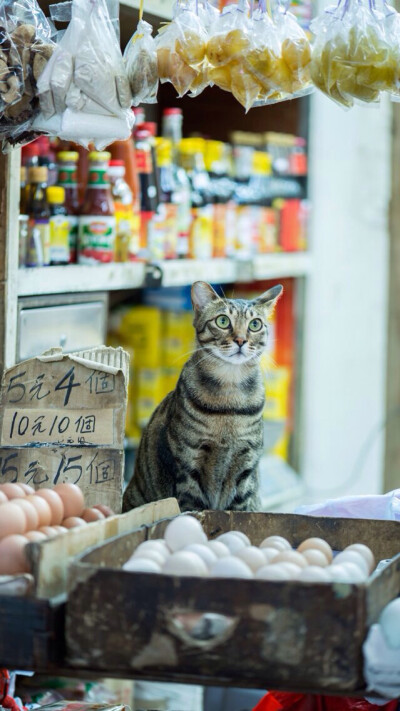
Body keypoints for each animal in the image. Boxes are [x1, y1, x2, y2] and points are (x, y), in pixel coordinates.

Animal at [123, 280, 282, 516]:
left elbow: (240, 508)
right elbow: (193, 507)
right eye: (223, 321)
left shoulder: (246, 467)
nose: (241, 340)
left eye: (255, 324)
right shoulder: (188, 463)